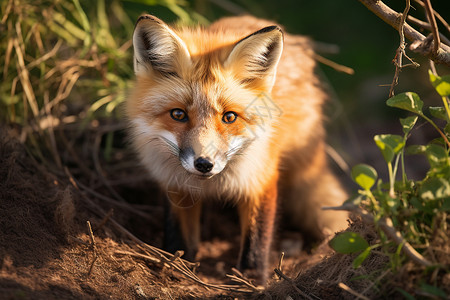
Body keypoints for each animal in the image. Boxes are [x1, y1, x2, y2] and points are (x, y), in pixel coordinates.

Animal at [126, 14, 348, 284]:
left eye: (229, 117)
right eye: (178, 114)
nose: (204, 164)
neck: (211, 184)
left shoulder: (260, 178)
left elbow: (257, 238)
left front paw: (251, 279)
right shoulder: (175, 183)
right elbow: (178, 234)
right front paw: (177, 265)